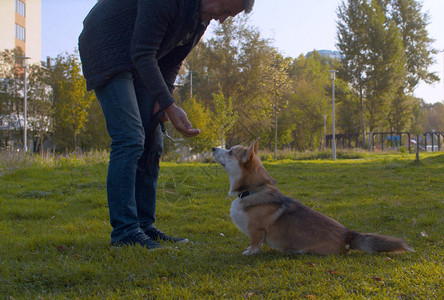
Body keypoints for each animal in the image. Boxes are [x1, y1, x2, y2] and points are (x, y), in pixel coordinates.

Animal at [212, 139, 412, 255]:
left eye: (230, 152)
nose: (213, 147)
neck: (252, 190)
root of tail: (347, 235)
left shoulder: (256, 229)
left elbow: (255, 243)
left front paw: (250, 252)